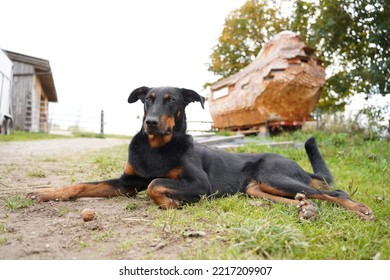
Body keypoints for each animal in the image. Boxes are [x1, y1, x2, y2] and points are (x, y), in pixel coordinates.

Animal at [28, 86, 374, 220]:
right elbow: (82, 185)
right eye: (147, 99)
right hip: (255, 188)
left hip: (273, 174)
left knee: (333, 192)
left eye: (171, 100)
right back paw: (304, 207)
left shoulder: (199, 184)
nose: (151, 123)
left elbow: (155, 185)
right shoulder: (126, 183)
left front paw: (173, 203)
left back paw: (359, 209)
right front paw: (46, 193)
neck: (157, 147)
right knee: (294, 197)